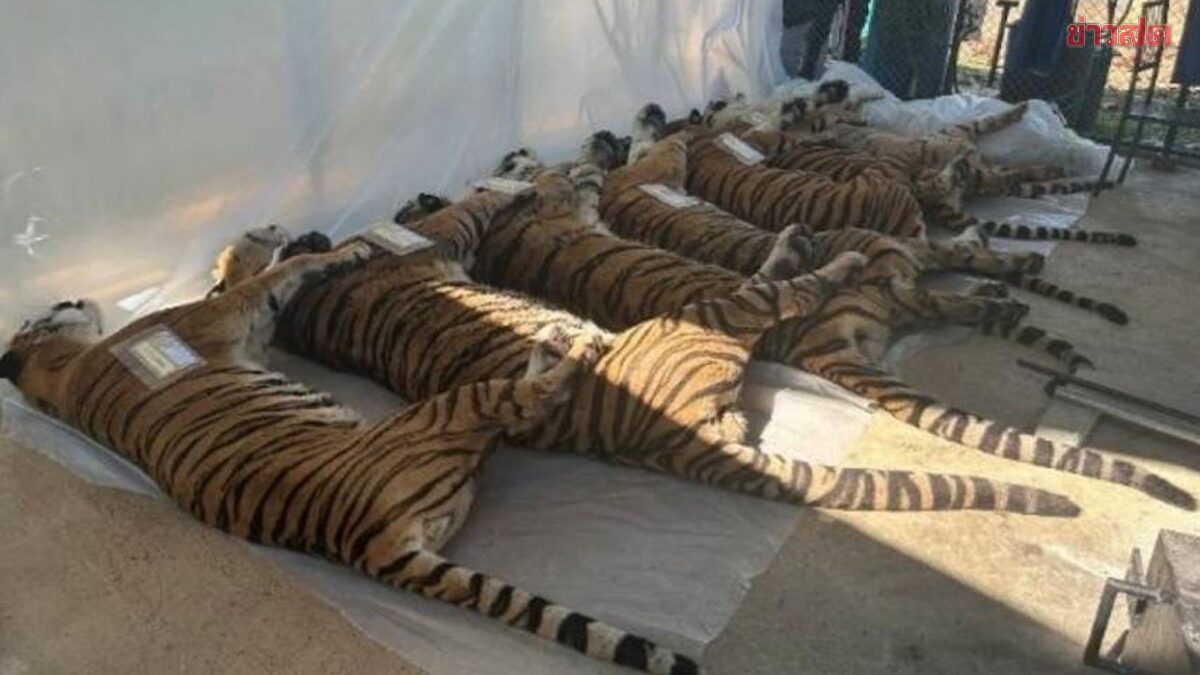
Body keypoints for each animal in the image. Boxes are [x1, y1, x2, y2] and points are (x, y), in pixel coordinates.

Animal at [0, 246, 724, 674]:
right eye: (51, 308)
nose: (73, 296)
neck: (56, 375)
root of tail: (369, 549)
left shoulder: (246, 337)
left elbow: (263, 284)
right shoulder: (221, 319)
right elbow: (270, 275)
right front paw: (330, 249)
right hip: (446, 408)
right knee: (525, 401)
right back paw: (571, 344)